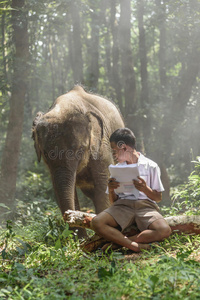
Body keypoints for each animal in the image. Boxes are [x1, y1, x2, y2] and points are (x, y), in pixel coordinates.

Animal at [32, 85, 124, 221]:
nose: (70, 217)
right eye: (45, 153)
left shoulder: (102, 146)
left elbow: (103, 186)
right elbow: (60, 189)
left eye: (80, 150)